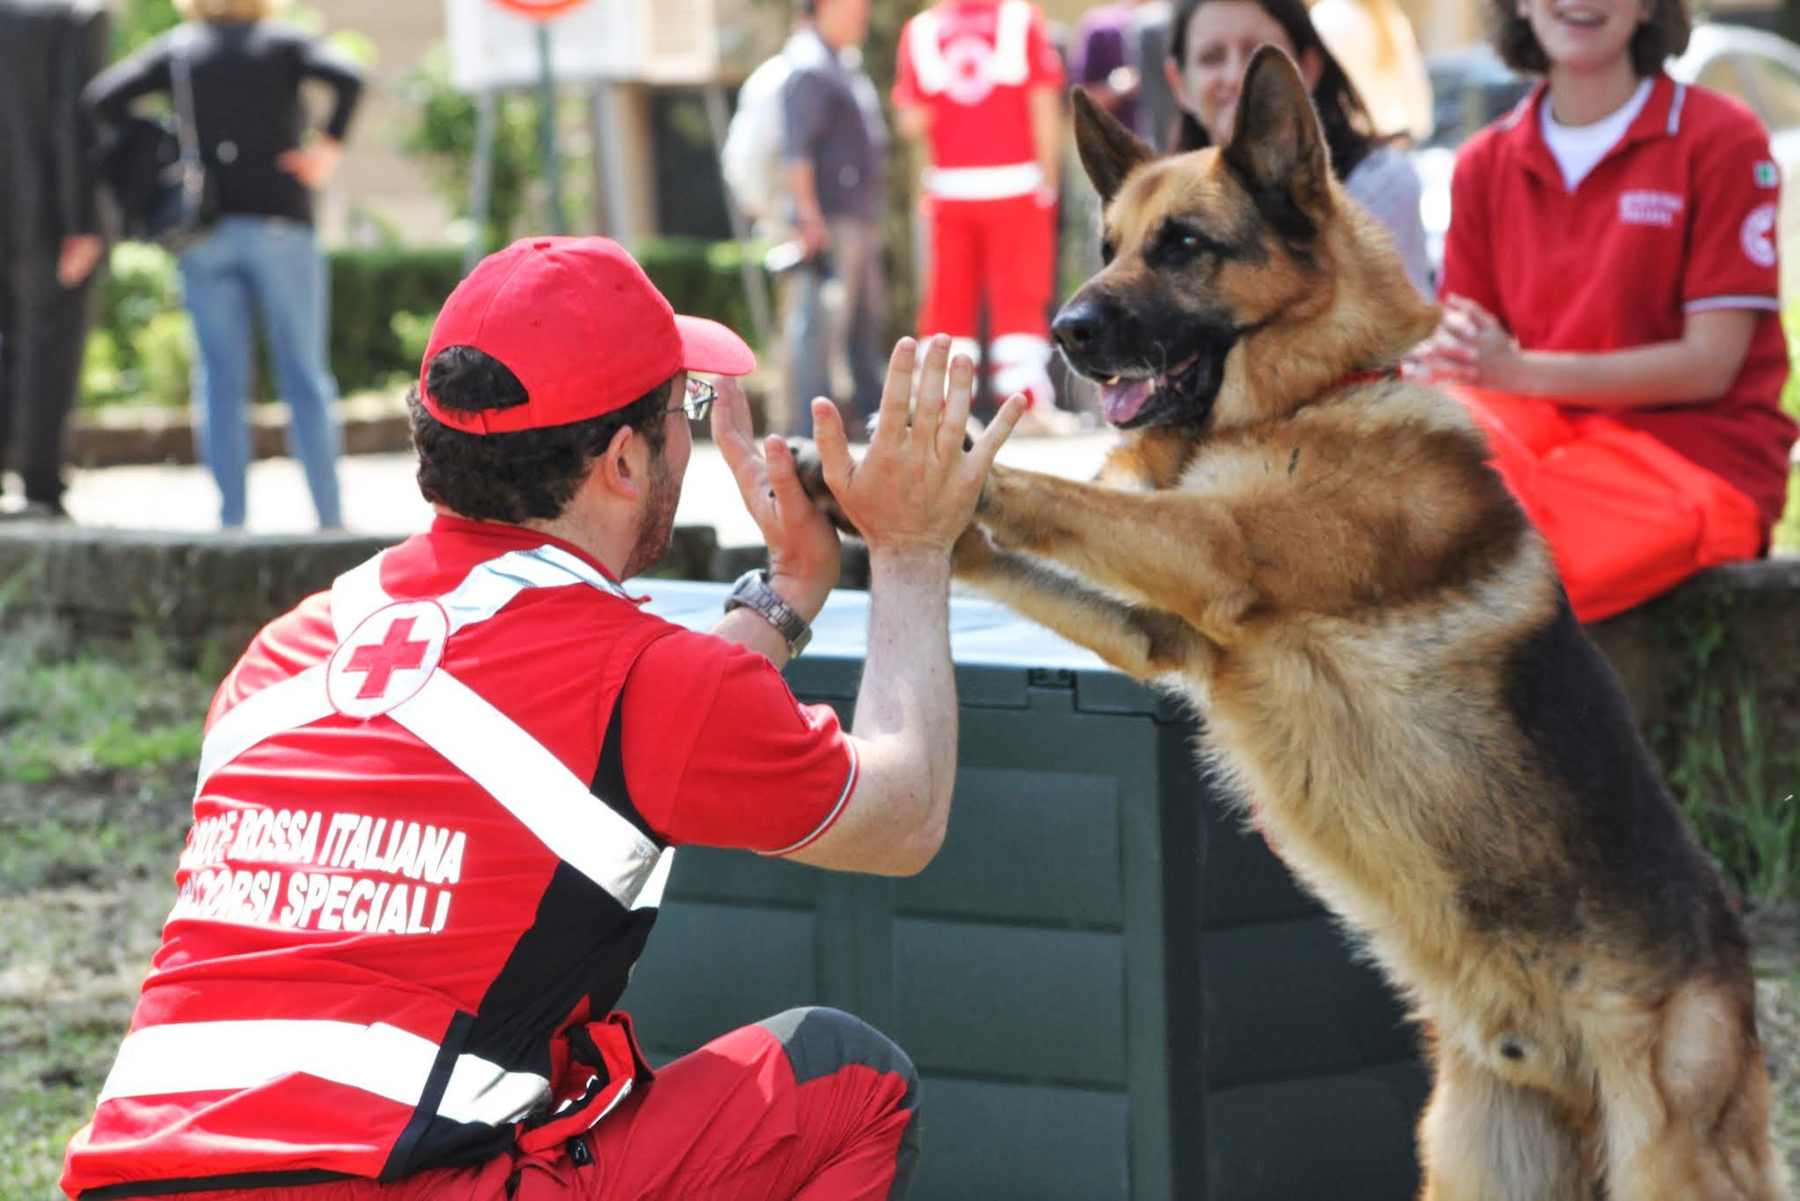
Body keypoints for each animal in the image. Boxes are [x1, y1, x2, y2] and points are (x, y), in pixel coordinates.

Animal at [824, 44, 1792, 1201]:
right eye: (1107, 248)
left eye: (1183, 246)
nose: (1063, 333)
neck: (1312, 397)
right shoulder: (1163, 634)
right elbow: (1034, 541)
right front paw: (890, 496)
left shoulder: (1211, 550)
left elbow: (1063, 495)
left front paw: (938, 464)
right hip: (1475, 1159)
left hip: (1666, 1157)